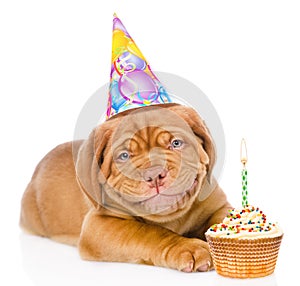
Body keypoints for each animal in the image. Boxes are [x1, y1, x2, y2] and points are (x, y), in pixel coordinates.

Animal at [19, 103, 231, 272]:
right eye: (124, 156)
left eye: (176, 143)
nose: (154, 174)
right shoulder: (98, 225)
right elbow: (148, 233)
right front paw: (188, 248)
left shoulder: (219, 206)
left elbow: (222, 219)